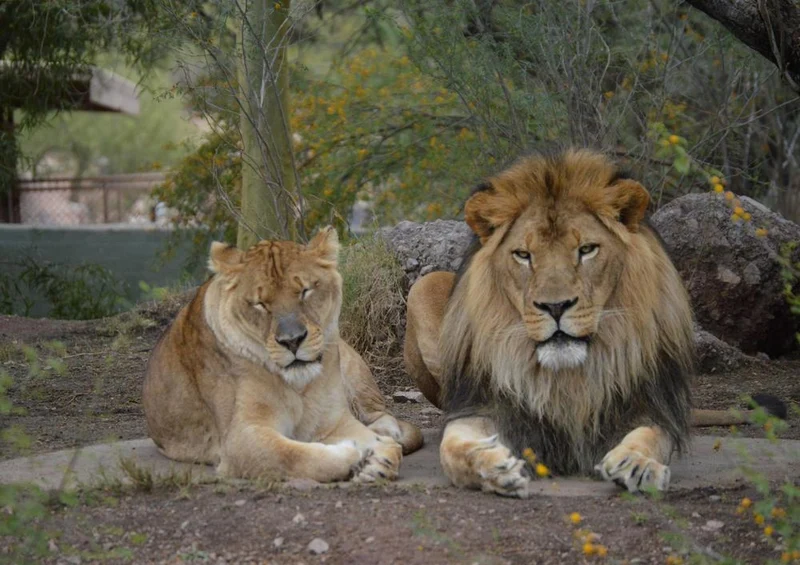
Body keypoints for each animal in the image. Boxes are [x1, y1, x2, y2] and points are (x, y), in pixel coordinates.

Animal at [143, 227, 423, 483]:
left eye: (305, 291)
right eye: (260, 304)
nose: (292, 341)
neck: (298, 385)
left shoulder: (332, 421)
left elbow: (381, 445)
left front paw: (380, 454)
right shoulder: (240, 438)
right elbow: (294, 455)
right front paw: (357, 457)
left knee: (381, 413)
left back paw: (387, 431)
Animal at [404, 148, 785, 497]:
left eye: (586, 250)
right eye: (523, 255)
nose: (555, 306)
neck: (568, 379)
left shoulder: (648, 405)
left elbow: (652, 435)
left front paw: (638, 463)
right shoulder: (478, 405)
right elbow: (453, 446)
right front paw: (492, 465)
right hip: (422, 288)